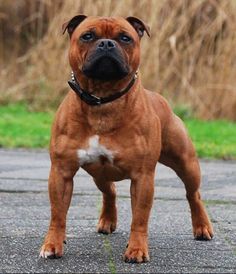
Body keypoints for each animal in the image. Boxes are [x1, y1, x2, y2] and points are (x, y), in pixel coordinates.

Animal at [39, 15, 213, 264]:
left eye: (125, 38)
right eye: (87, 36)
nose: (106, 44)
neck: (103, 100)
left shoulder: (143, 177)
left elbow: (139, 218)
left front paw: (137, 250)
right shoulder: (61, 172)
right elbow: (58, 214)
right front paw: (53, 244)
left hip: (185, 162)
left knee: (193, 194)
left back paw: (202, 227)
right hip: (99, 173)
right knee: (109, 190)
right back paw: (107, 221)